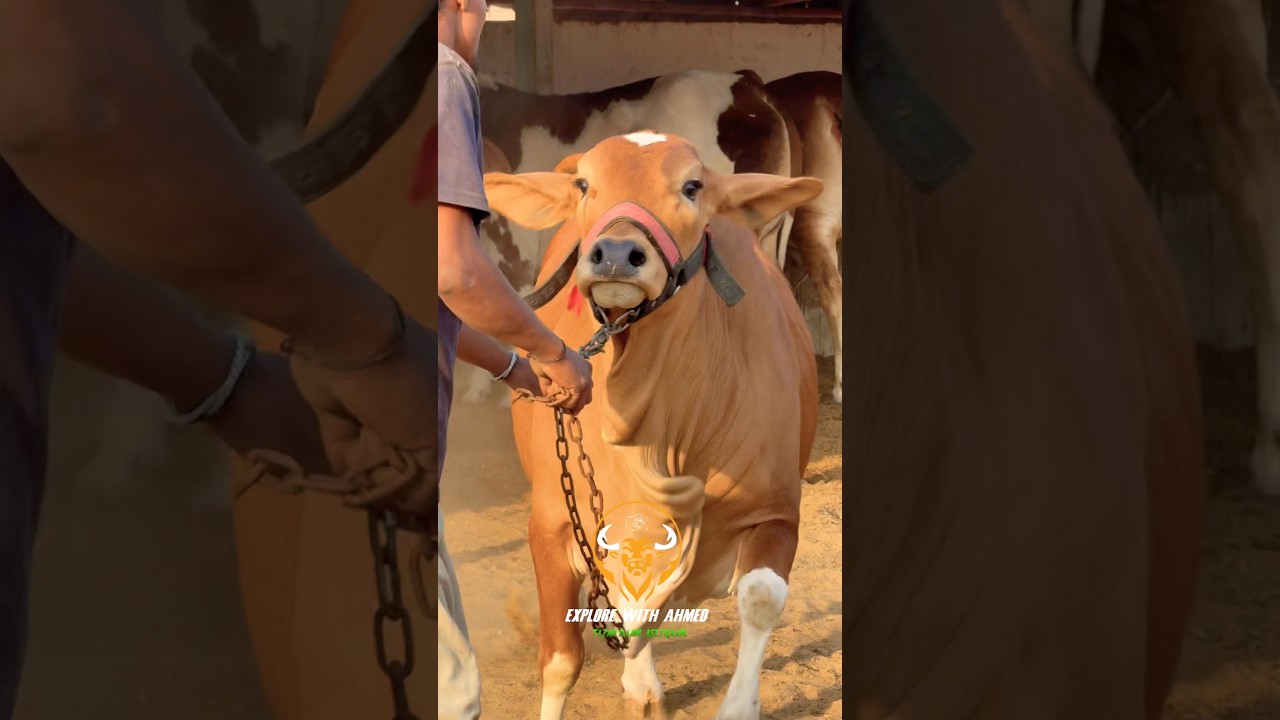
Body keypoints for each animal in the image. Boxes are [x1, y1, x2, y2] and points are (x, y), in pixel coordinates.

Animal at [483, 131, 823, 720]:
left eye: (692, 186)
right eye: (584, 183)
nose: (617, 254)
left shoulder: (777, 506)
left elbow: (761, 597)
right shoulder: (551, 519)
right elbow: (561, 659)